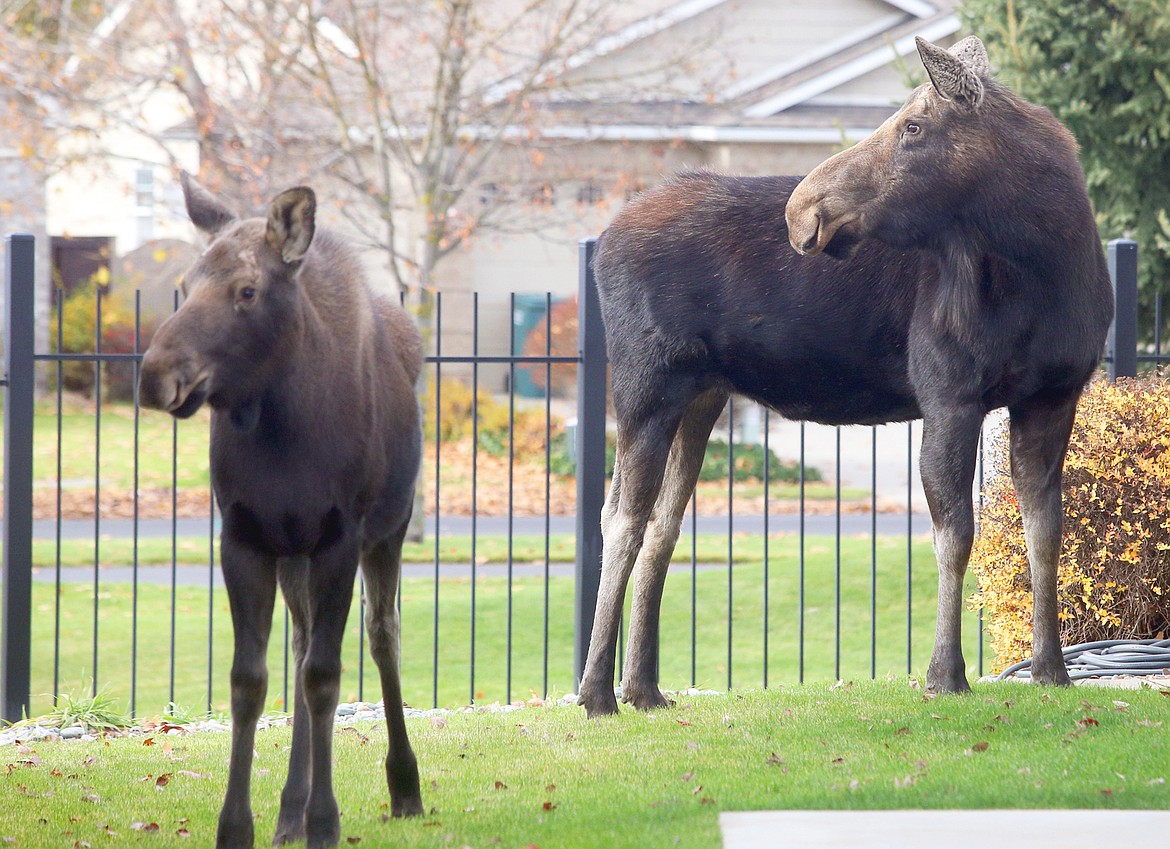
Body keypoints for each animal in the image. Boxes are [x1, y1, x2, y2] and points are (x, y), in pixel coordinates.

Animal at [138, 176, 425, 846]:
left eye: (247, 289)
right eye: (187, 282)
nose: (155, 374)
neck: (282, 434)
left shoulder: (340, 537)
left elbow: (325, 676)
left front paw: (326, 820)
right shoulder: (244, 536)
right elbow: (250, 680)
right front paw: (238, 824)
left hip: (388, 531)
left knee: (382, 634)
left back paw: (404, 784)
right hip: (293, 553)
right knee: (298, 643)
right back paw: (289, 808)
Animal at [575, 36, 1113, 720]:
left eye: (913, 127)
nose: (801, 208)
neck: (1043, 269)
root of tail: (603, 241)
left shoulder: (1054, 396)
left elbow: (1045, 531)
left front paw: (1051, 669)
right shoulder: (948, 392)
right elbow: (955, 532)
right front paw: (944, 673)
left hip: (701, 395)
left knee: (661, 525)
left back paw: (643, 688)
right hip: (646, 384)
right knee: (620, 517)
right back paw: (596, 692)